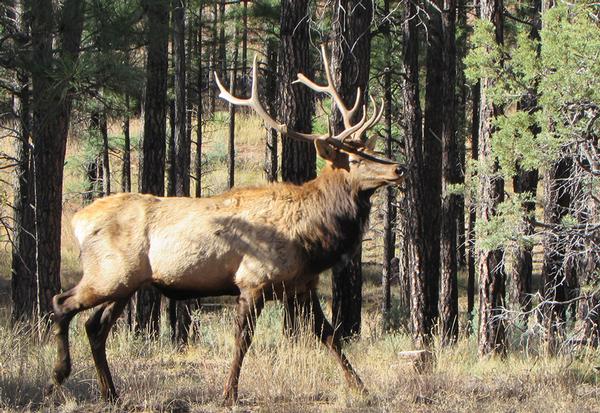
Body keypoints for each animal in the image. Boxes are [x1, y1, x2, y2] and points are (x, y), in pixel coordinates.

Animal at [45, 45, 404, 402]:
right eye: (354, 159)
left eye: (370, 150)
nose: (398, 167)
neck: (313, 240)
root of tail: (77, 220)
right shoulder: (251, 281)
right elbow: (243, 339)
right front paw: (228, 393)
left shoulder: (302, 286)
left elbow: (329, 335)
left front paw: (362, 389)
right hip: (109, 275)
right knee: (62, 303)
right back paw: (58, 376)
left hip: (125, 283)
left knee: (94, 327)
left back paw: (111, 393)